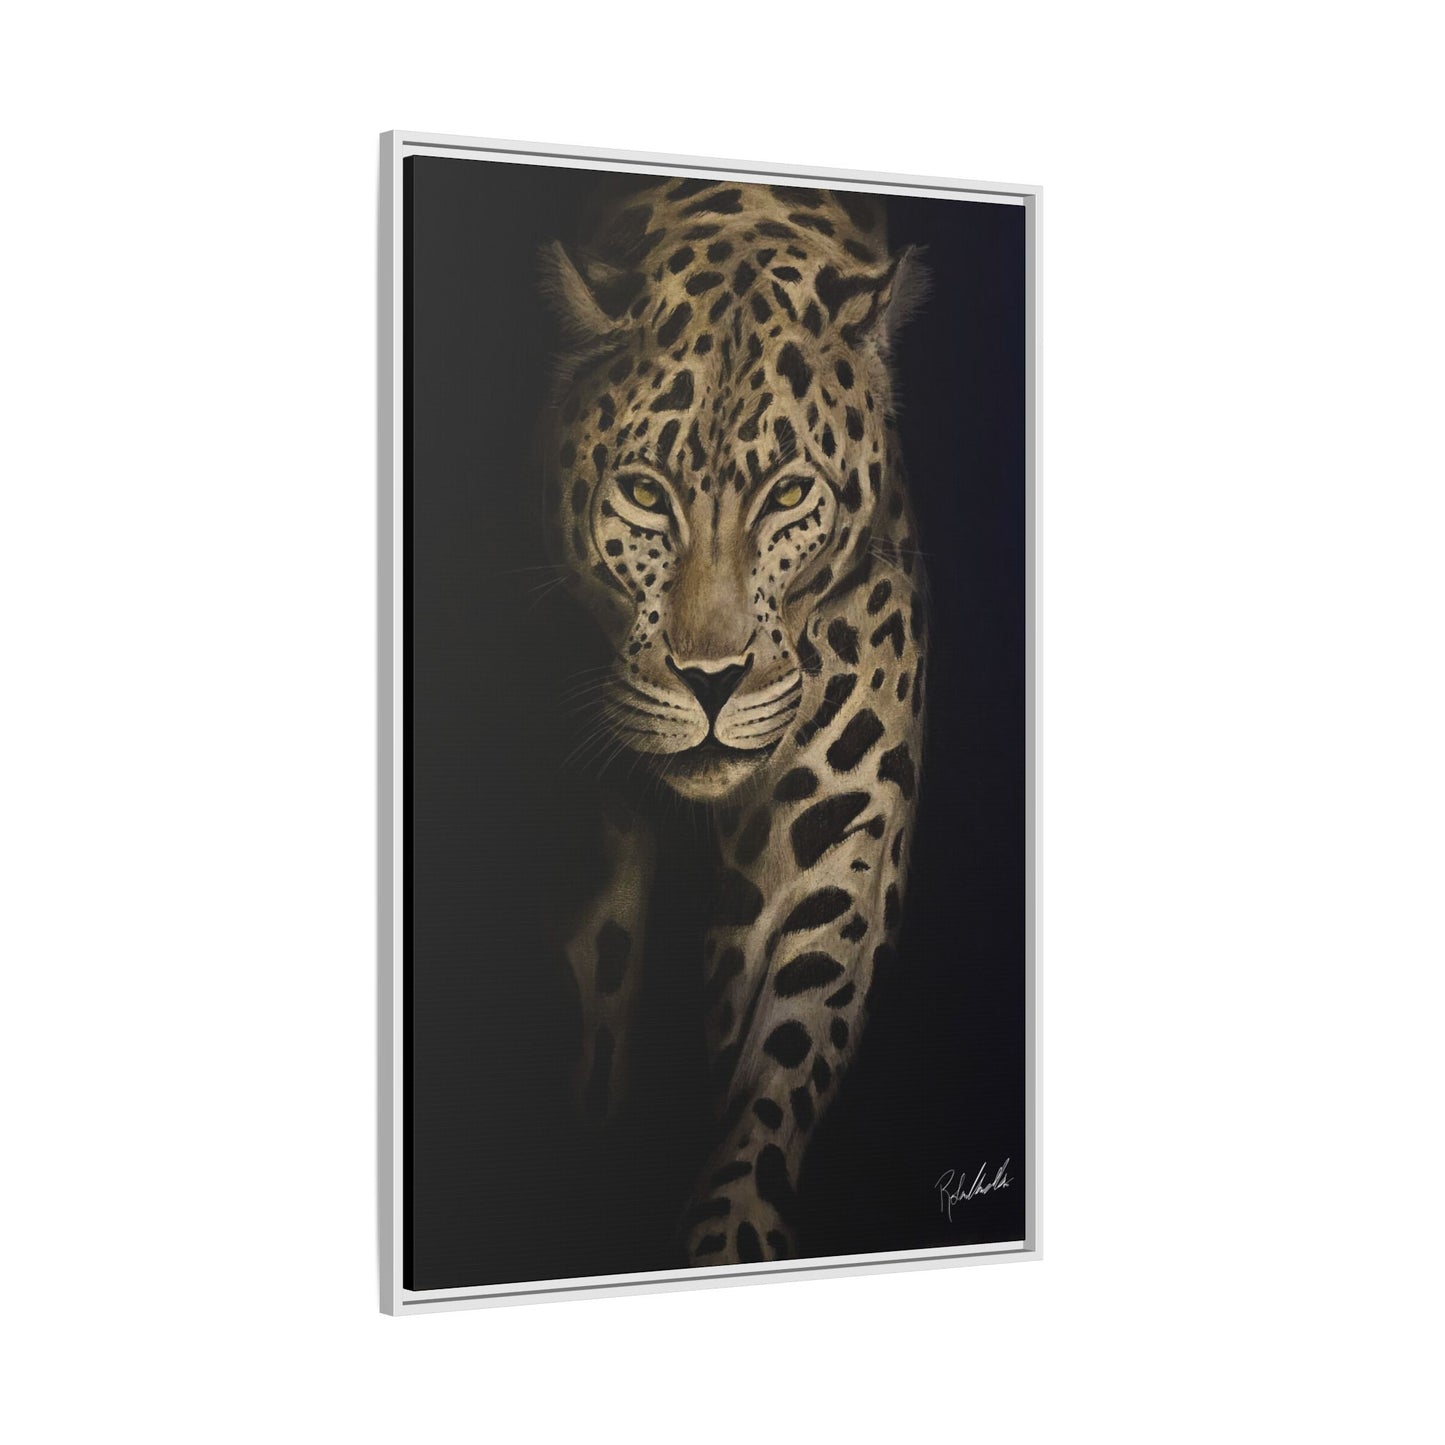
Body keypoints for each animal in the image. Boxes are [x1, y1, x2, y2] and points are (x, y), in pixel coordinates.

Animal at [538, 175, 928, 1269]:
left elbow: (783, 1047)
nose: (708, 681)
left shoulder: (829, 832)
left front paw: (729, 1230)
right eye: (642, 491)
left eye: (789, 492)